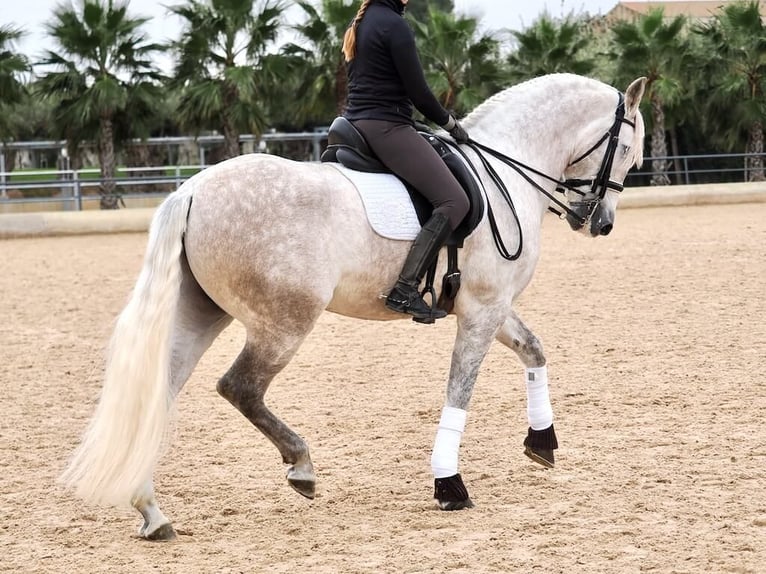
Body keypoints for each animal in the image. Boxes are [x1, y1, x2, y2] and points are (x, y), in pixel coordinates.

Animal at [61, 73, 648, 540]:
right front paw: (449, 485)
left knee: (161, 392)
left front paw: (542, 441)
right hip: (285, 322)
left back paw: (152, 511)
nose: (599, 223)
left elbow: (534, 350)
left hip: (202, 313)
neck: (503, 173)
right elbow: (459, 392)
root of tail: (193, 190)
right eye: (625, 150)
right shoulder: (482, 309)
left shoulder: (491, 306)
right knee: (240, 387)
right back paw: (300, 466)